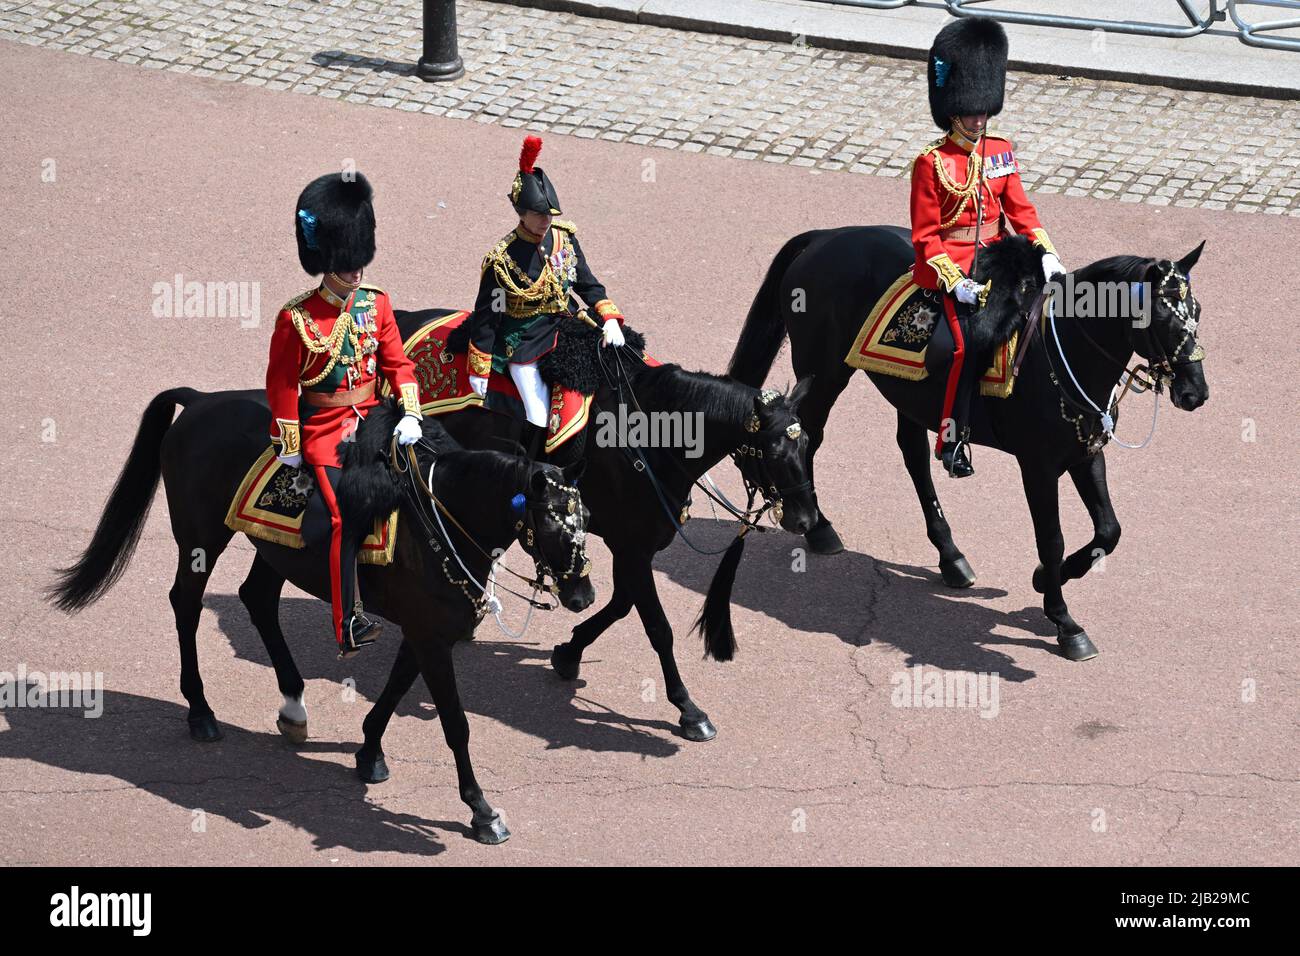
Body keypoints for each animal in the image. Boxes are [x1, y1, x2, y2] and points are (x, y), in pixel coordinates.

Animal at [45, 385, 595, 842]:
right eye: (552, 522)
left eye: (586, 517)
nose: (583, 595)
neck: (443, 516)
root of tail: (201, 400)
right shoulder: (431, 636)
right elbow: (455, 724)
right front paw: (481, 810)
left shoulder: (425, 631)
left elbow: (396, 688)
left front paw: (369, 752)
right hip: (201, 537)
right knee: (186, 603)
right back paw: (200, 710)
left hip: (276, 549)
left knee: (257, 598)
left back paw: (292, 705)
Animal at [733, 227, 1206, 660]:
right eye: (1160, 317)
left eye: (1197, 310)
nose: (1195, 393)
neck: (1061, 354)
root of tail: (826, 236)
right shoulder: (1037, 465)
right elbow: (1051, 538)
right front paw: (1063, 619)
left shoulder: (1085, 452)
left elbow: (1109, 530)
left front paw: (1047, 578)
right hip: (824, 371)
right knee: (809, 438)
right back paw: (820, 528)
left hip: (909, 394)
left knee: (913, 455)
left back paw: (950, 555)